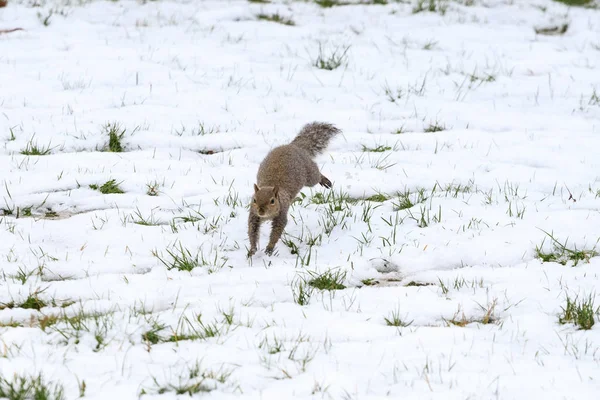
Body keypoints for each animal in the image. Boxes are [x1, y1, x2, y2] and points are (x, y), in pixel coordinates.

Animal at [248, 121, 342, 256]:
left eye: (272, 201)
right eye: (254, 200)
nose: (261, 211)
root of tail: (294, 146)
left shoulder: (281, 214)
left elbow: (277, 231)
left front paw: (269, 248)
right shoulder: (253, 216)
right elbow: (252, 231)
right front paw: (252, 249)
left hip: (309, 175)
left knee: (316, 175)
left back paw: (324, 180)